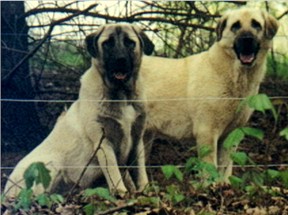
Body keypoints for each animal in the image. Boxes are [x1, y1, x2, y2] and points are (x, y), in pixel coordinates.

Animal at [3, 23, 154, 197]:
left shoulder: (137, 139)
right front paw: (121, 192)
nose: (120, 60)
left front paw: (144, 190)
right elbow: (113, 170)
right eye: (107, 43)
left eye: (130, 42)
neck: (121, 94)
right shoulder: (103, 142)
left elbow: (140, 170)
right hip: (50, 166)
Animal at [141, 7, 278, 180]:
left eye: (256, 25)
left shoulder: (231, 135)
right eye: (235, 26)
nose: (247, 40)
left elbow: (225, 167)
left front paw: (224, 185)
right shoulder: (206, 131)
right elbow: (209, 169)